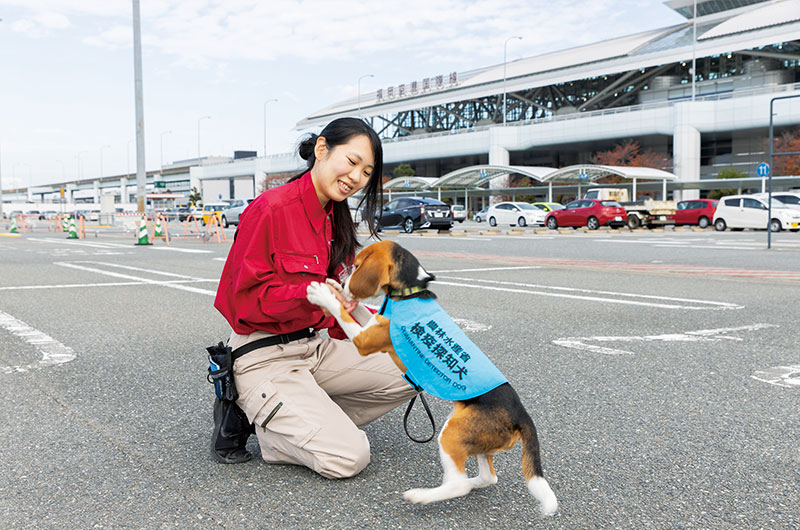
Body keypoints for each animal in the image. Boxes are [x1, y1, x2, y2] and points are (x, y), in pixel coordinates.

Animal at [306, 240, 556, 512]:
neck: (410, 291)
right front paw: (335, 291)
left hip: (452, 433)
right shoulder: (373, 322)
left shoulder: (365, 340)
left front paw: (324, 294)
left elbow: (342, 312)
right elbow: (360, 310)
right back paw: (471, 483)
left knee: (458, 484)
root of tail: (522, 415)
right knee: (488, 477)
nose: (342, 284)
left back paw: (422, 495)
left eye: (357, 264)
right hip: (475, 437)